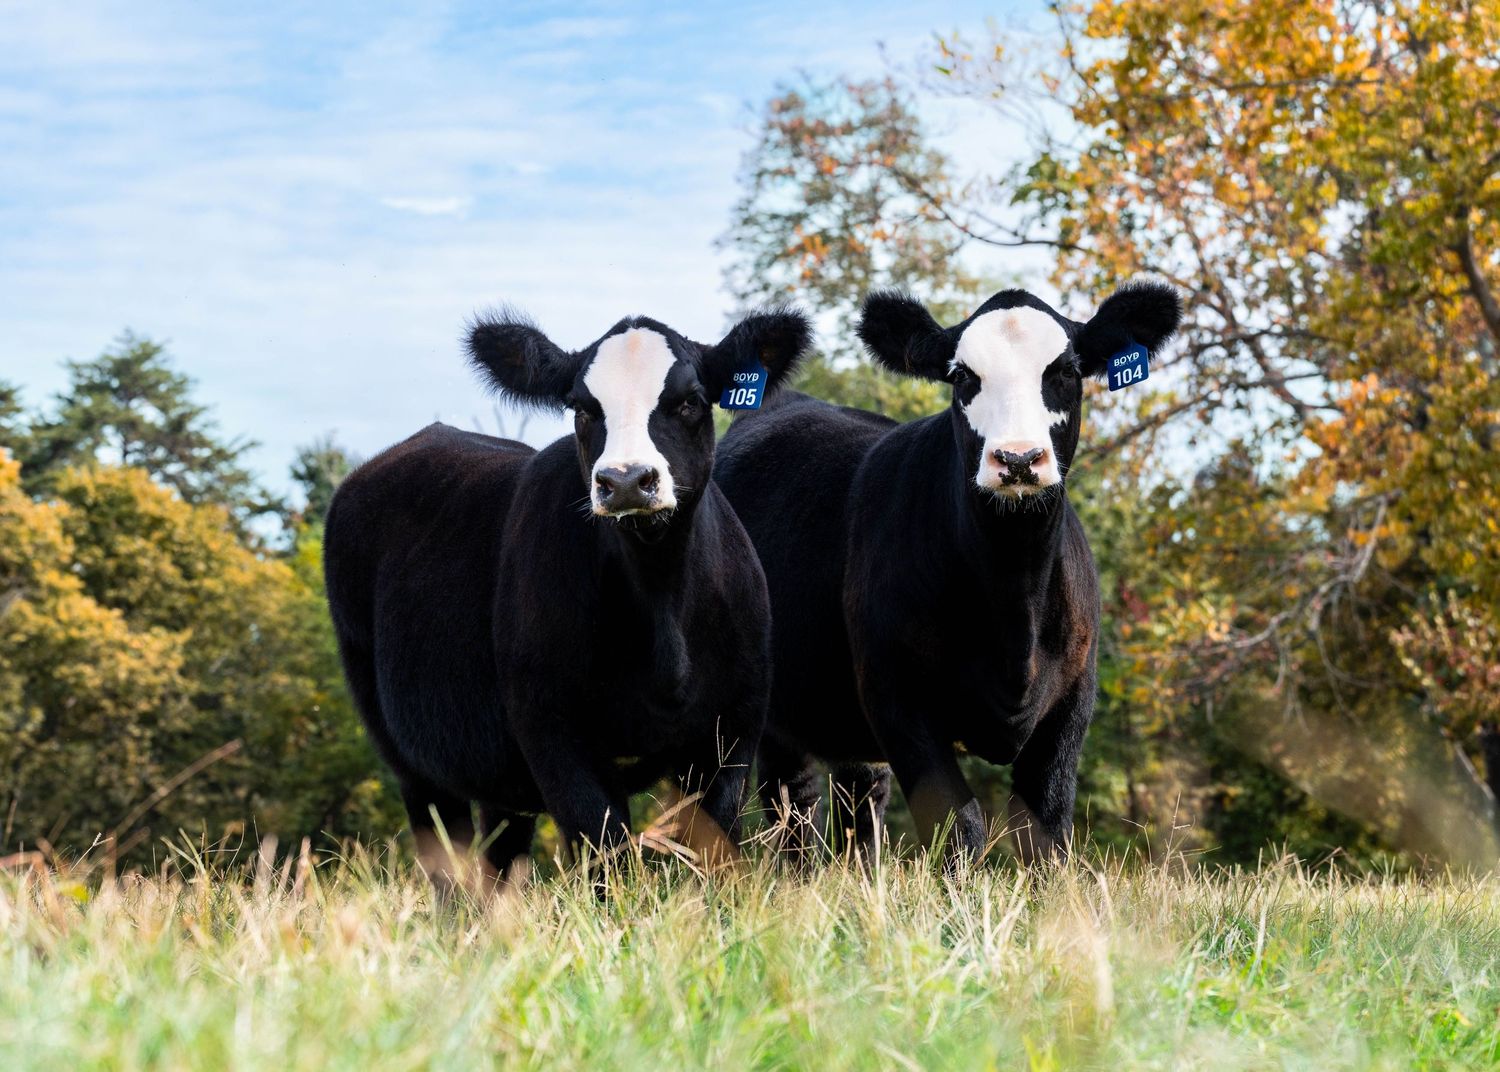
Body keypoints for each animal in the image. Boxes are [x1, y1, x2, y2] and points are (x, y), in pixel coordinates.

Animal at [324, 308, 812, 889]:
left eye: (690, 400)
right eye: (581, 407)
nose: (626, 480)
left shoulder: (732, 729)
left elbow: (711, 855)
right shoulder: (552, 729)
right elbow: (603, 854)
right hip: (407, 754)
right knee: (446, 863)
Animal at [714, 282, 1181, 866]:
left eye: (1067, 371)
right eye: (962, 377)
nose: (1018, 458)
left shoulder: (1073, 700)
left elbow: (1045, 833)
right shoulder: (897, 697)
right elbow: (960, 826)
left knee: (854, 799)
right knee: (781, 801)